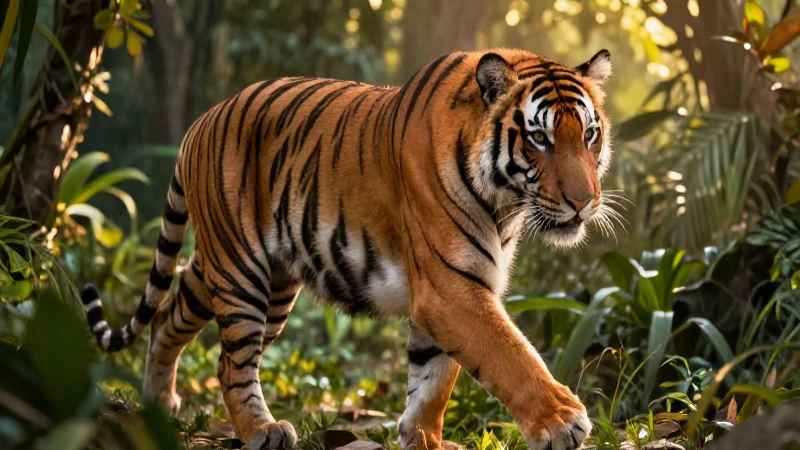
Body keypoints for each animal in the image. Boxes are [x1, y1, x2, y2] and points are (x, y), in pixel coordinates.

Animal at [80, 48, 614, 450]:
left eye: (589, 134)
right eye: (539, 137)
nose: (584, 201)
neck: (506, 203)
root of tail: (201, 121)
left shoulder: (452, 287)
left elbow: (434, 377)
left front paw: (423, 438)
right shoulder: (449, 286)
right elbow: (507, 354)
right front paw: (562, 421)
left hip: (250, 277)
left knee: (170, 318)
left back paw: (158, 407)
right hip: (240, 271)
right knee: (231, 362)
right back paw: (261, 430)